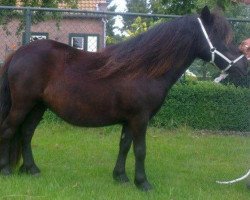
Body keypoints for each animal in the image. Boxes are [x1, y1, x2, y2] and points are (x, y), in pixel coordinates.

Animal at [0, 6, 248, 191]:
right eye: (220, 38)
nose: (244, 66)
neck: (144, 70)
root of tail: (19, 53)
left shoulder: (130, 120)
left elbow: (124, 146)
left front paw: (120, 177)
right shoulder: (140, 118)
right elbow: (140, 149)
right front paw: (143, 183)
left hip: (37, 107)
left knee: (26, 134)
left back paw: (31, 169)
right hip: (23, 105)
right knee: (9, 130)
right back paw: (6, 170)